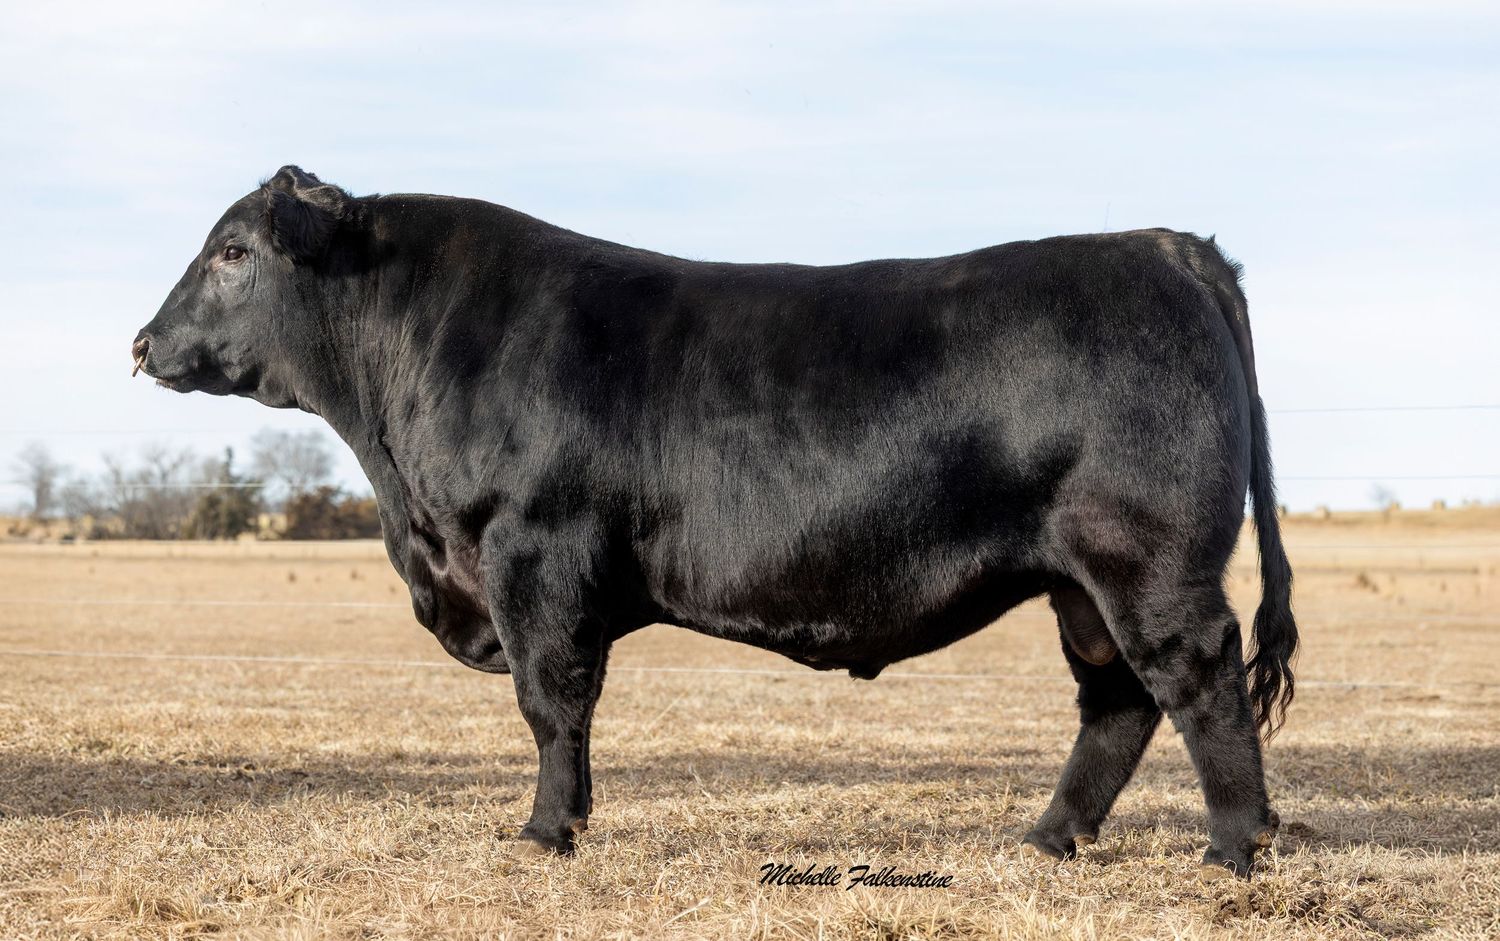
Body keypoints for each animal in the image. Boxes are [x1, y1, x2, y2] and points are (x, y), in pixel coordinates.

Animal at [134, 167, 1297, 878]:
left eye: (233, 250)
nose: (142, 343)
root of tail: (1162, 244)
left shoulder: (533, 554)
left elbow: (551, 702)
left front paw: (547, 830)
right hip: (1079, 581)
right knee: (1117, 699)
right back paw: (1050, 837)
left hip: (1144, 557)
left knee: (1196, 675)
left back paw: (1235, 846)